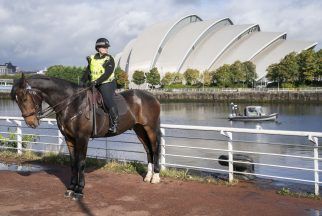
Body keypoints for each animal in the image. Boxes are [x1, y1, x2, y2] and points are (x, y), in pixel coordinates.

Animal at [11, 74, 162, 201]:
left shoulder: (82, 138)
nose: (31, 123)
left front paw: (79, 190)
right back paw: (148, 176)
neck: (72, 103)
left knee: (154, 149)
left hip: (150, 128)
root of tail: (152, 96)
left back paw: (155, 177)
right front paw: (71, 188)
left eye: (24, 98)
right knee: (148, 150)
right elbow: (73, 163)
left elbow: (81, 163)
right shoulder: (69, 139)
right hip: (139, 129)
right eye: (16, 100)